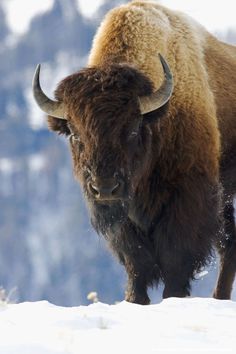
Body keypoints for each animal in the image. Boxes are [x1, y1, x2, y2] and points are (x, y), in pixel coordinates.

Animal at [31, 0, 236, 304]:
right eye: (76, 135)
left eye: (133, 130)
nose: (105, 188)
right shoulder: (124, 221)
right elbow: (136, 264)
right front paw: (134, 299)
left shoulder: (187, 199)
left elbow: (175, 261)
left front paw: (173, 297)